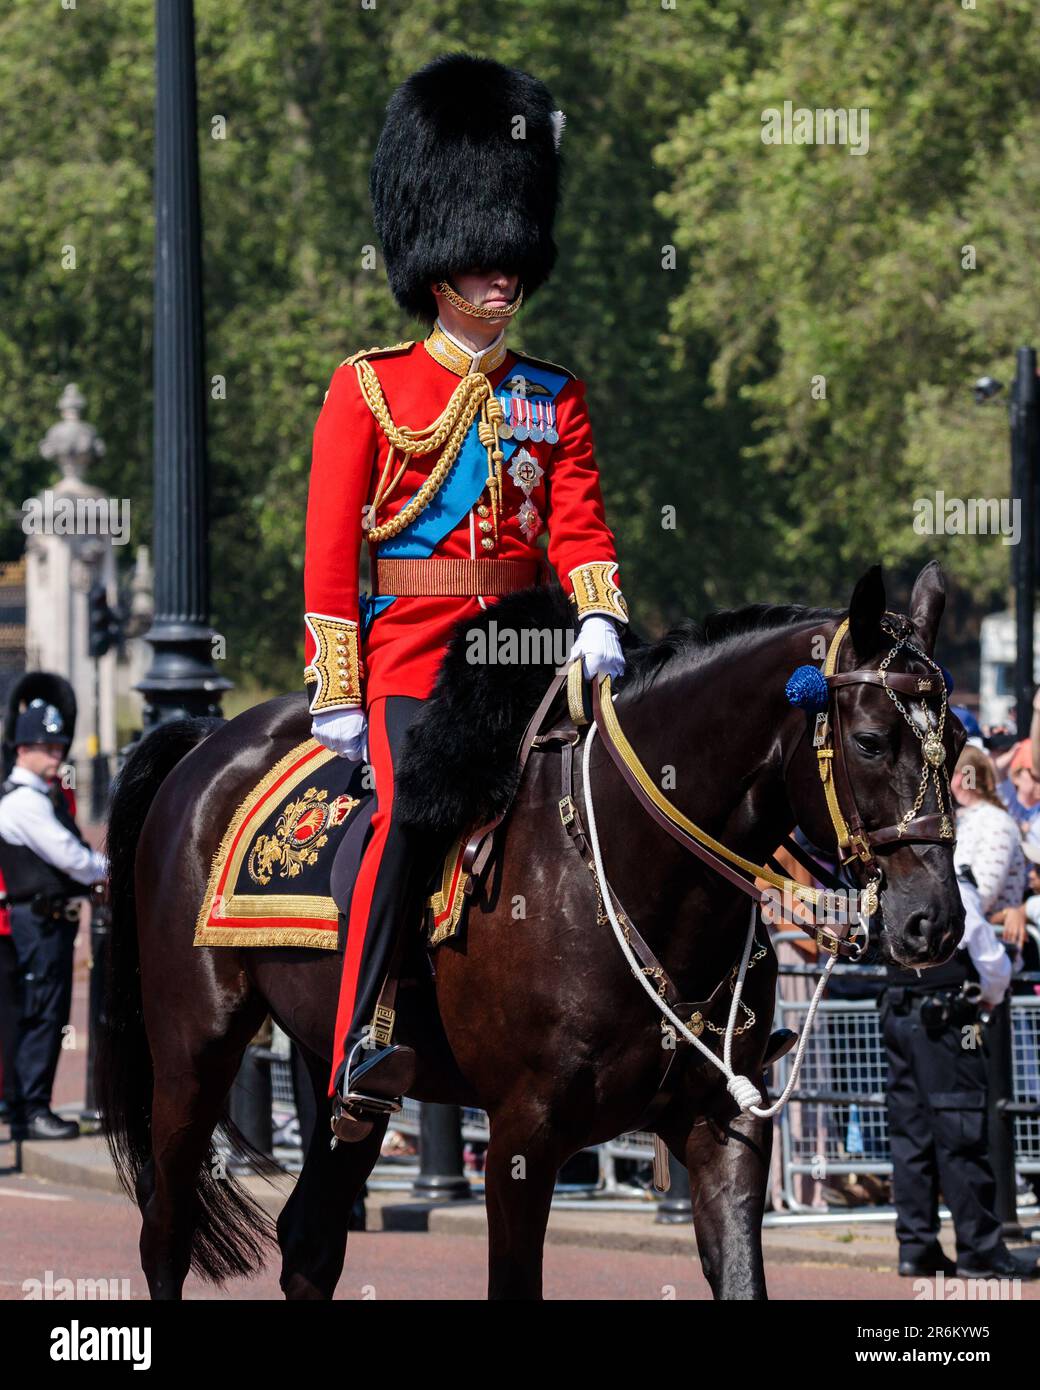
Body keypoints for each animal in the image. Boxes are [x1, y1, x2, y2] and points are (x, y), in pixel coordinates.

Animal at [97, 558, 967, 1295]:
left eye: (955, 740)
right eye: (870, 740)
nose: (934, 923)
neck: (626, 864)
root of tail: (207, 742)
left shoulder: (723, 1127)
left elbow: (741, 1277)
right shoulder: (522, 1136)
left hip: (337, 1078)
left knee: (310, 1240)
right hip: (193, 1050)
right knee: (166, 1230)